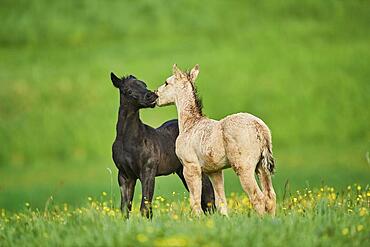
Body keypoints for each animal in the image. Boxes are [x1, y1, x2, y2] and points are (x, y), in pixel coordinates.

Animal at [108, 73, 215, 218]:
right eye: (128, 91)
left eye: (144, 84)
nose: (152, 96)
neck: (128, 141)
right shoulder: (125, 176)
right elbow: (125, 208)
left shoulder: (148, 172)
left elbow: (145, 205)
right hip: (182, 172)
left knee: (209, 196)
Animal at [155, 64, 276, 216]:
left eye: (166, 83)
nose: (155, 94)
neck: (190, 124)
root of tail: (259, 127)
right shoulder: (215, 171)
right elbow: (220, 202)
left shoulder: (190, 167)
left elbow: (195, 201)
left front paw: (198, 219)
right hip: (262, 167)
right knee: (270, 196)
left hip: (243, 167)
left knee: (258, 197)